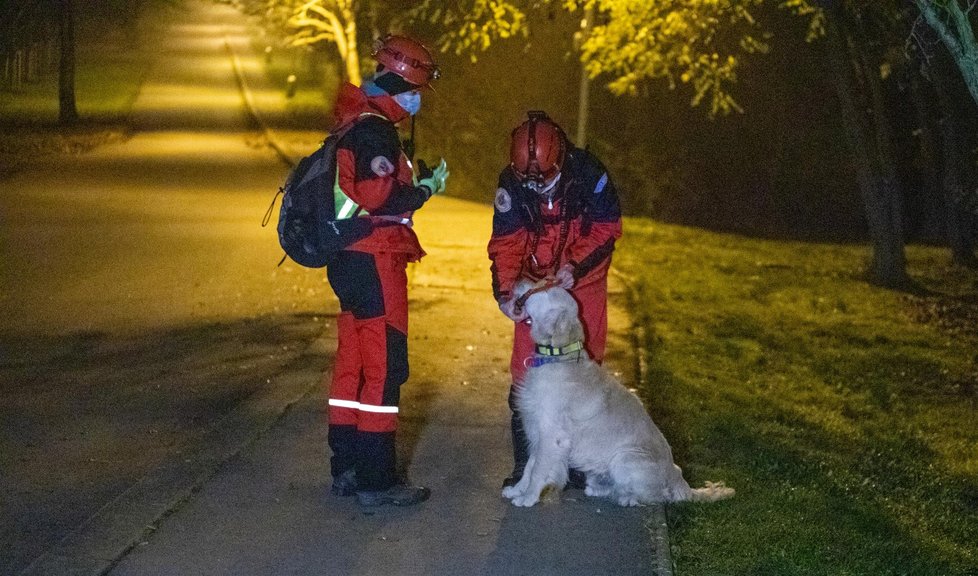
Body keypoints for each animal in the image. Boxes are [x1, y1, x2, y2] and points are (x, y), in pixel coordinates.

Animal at [500, 284, 736, 508]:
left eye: (546, 289)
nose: (521, 282)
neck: (558, 357)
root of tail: (678, 478)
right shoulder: (538, 430)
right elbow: (530, 466)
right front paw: (517, 490)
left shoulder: (552, 435)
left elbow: (538, 469)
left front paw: (528, 497)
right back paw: (598, 489)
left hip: (624, 458)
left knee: (656, 496)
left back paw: (627, 498)